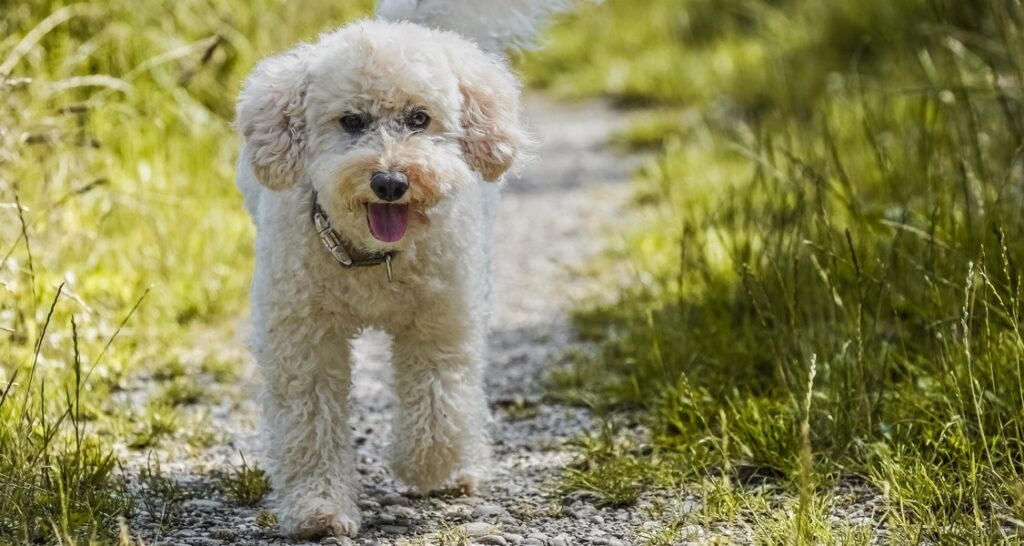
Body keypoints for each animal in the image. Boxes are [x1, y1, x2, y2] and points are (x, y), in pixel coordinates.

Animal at [234, 0, 569, 536]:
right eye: (351, 121)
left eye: (419, 118)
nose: (390, 181)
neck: (374, 256)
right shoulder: (303, 339)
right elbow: (310, 425)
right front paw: (319, 508)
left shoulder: (439, 322)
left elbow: (438, 405)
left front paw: (426, 469)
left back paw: (464, 468)